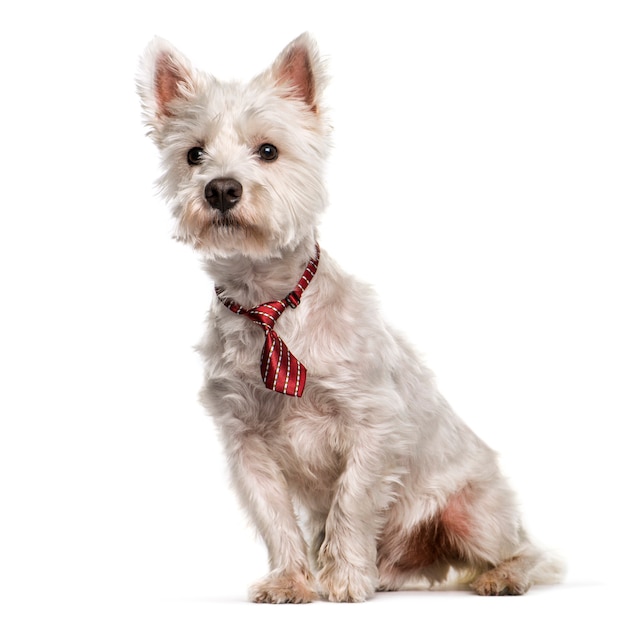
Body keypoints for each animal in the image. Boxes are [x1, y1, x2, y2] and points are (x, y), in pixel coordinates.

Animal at [136, 33, 560, 600]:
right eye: (193, 154)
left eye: (268, 150)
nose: (221, 189)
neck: (270, 305)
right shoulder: (245, 441)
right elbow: (275, 517)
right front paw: (291, 579)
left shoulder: (372, 424)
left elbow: (352, 505)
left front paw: (342, 579)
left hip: (473, 514)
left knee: (530, 552)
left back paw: (501, 576)